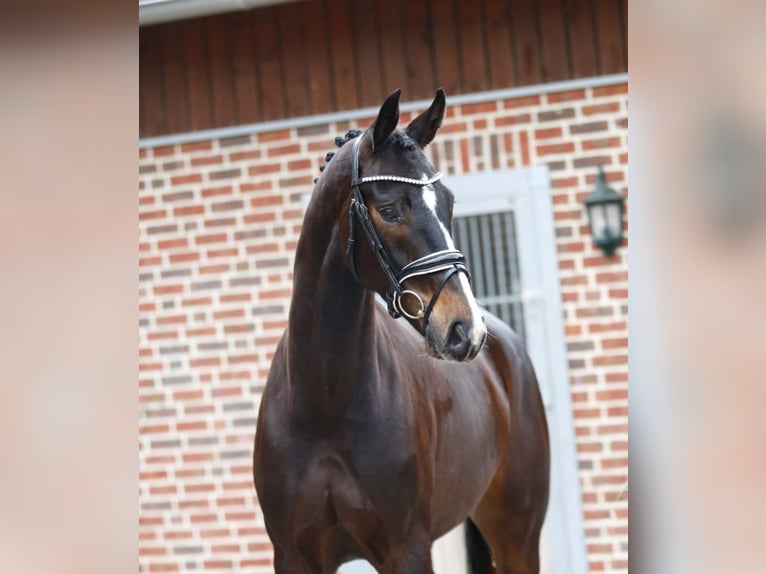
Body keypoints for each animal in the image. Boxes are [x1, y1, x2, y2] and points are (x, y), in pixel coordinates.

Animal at [253, 89, 550, 574]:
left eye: (448, 203)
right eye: (390, 209)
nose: (465, 331)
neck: (324, 404)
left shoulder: (406, 549)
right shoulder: (294, 556)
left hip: (516, 534)